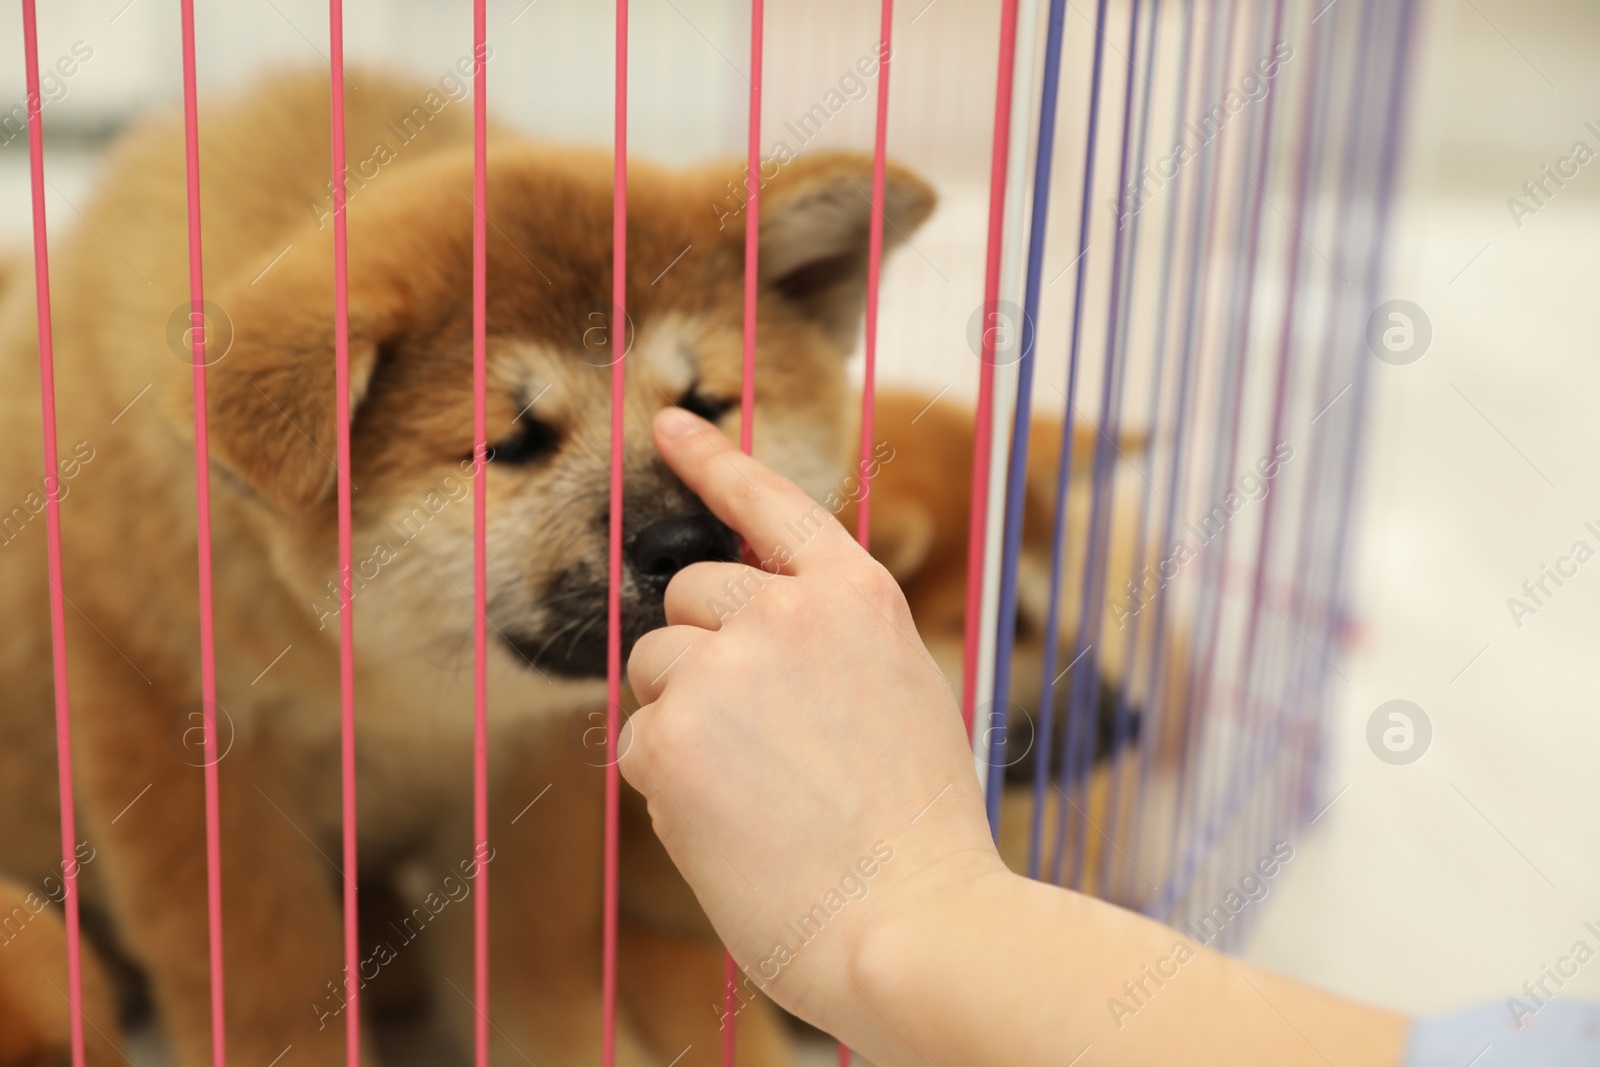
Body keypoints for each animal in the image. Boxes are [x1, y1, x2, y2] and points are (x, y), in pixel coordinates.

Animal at [0, 68, 934, 1067]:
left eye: (704, 406)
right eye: (511, 443)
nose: (686, 540)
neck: (391, 694)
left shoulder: (533, 767)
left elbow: (531, 959)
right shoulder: (177, 735)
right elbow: (266, 973)